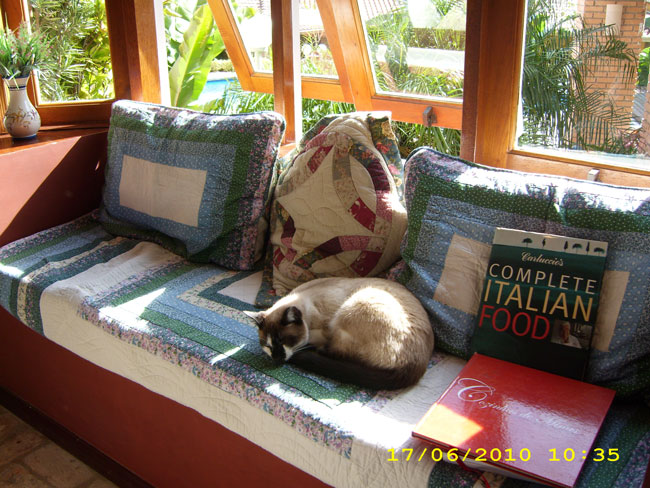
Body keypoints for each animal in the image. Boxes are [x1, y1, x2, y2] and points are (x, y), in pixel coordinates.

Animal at [245, 277, 434, 390]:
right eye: (268, 345)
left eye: (285, 340)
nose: (277, 359)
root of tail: (415, 367)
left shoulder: (325, 329)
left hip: (352, 307)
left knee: (336, 353)